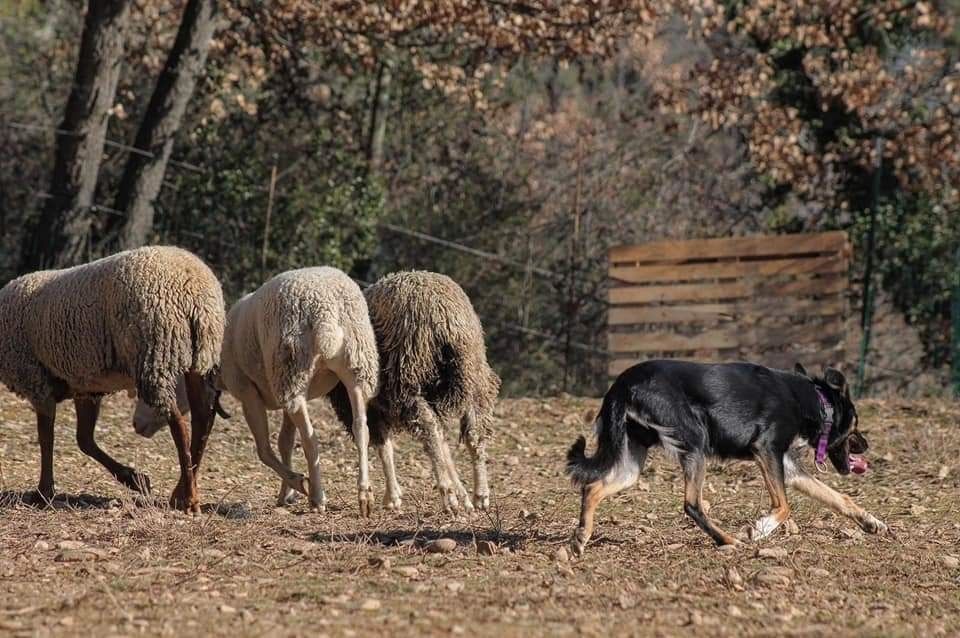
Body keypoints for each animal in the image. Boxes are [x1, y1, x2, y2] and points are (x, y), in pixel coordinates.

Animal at [0, 246, 226, 516]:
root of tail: (196, 293)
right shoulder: (85, 386)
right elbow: (84, 440)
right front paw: (135, 479)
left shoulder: (36, 381)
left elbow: (46, 439)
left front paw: (44, 493)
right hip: (200, 358)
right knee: (203, 418)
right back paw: (181, 492)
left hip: (155, 354)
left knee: (179, 424)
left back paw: (189, 499)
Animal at [136, 268, 382, 516]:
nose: (136, 424)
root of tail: (326, 311)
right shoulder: (286, 398)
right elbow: (285, 442)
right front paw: (286, 494)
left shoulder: (248, 393)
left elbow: (264, 449)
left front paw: (298, 483)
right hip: (354, 364)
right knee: (361, 427)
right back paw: (365, 496)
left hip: (292, 369)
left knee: (310, 439)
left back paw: (317, 497)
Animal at [328, 270, 498, 516]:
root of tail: (445, 317)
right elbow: (442, 443)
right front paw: (462, 495)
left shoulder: (359, 402)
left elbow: (383, 445)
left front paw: (392, 497)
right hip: (474, 376)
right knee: (473, 433)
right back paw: (480, 495)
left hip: (407, 379)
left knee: (429, 430)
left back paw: (448, 495)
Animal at [568, 360, 888, 556]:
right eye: (856, 424)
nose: (866, 445)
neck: (814, 402)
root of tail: (622, 383)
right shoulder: (767, 451)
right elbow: (783, 506)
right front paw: (758, 530)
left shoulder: (788, 466)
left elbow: (839, 498)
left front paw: (872, 522)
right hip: (695, 442)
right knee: (692, 504)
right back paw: (728, 541)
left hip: (632, 461)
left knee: (592, 487)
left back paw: (581, 537)